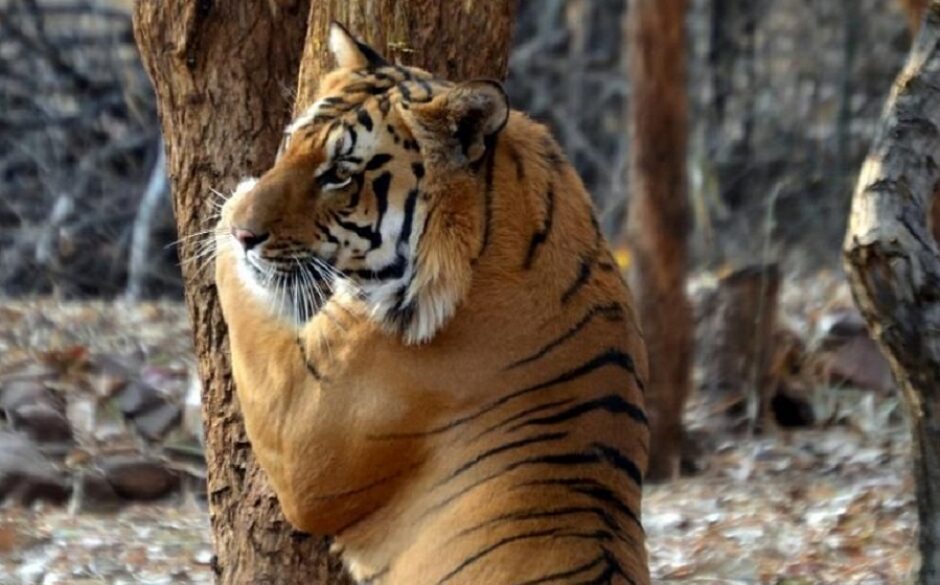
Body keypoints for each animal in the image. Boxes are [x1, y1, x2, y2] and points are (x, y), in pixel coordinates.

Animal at [217, 22, 648, 584]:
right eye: (291, 141)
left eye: (339, 174)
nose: (244, 232)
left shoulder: (299, 428)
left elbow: (241, 298)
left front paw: (228, 208)